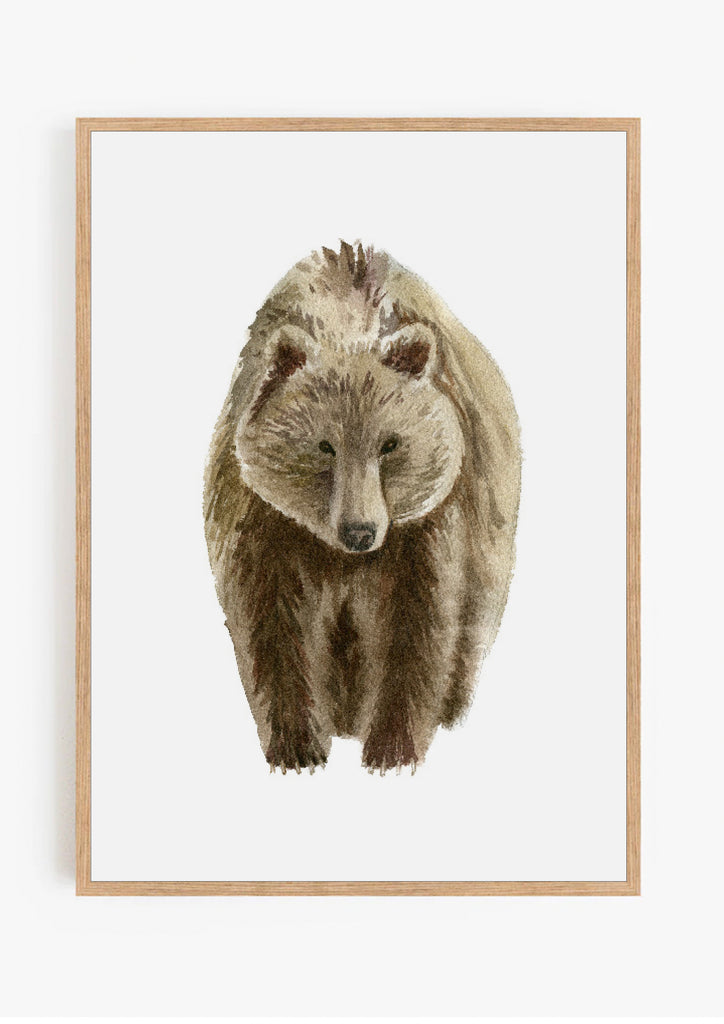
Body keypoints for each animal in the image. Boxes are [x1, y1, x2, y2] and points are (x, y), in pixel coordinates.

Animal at [203, 241, 521, 774]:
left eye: (390, 444)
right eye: (324, 446)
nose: (359, 531)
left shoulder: (426, 528)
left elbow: (415, 628)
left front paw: (392, 749)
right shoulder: (264, 522)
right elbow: (272, 625)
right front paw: (296, 747)